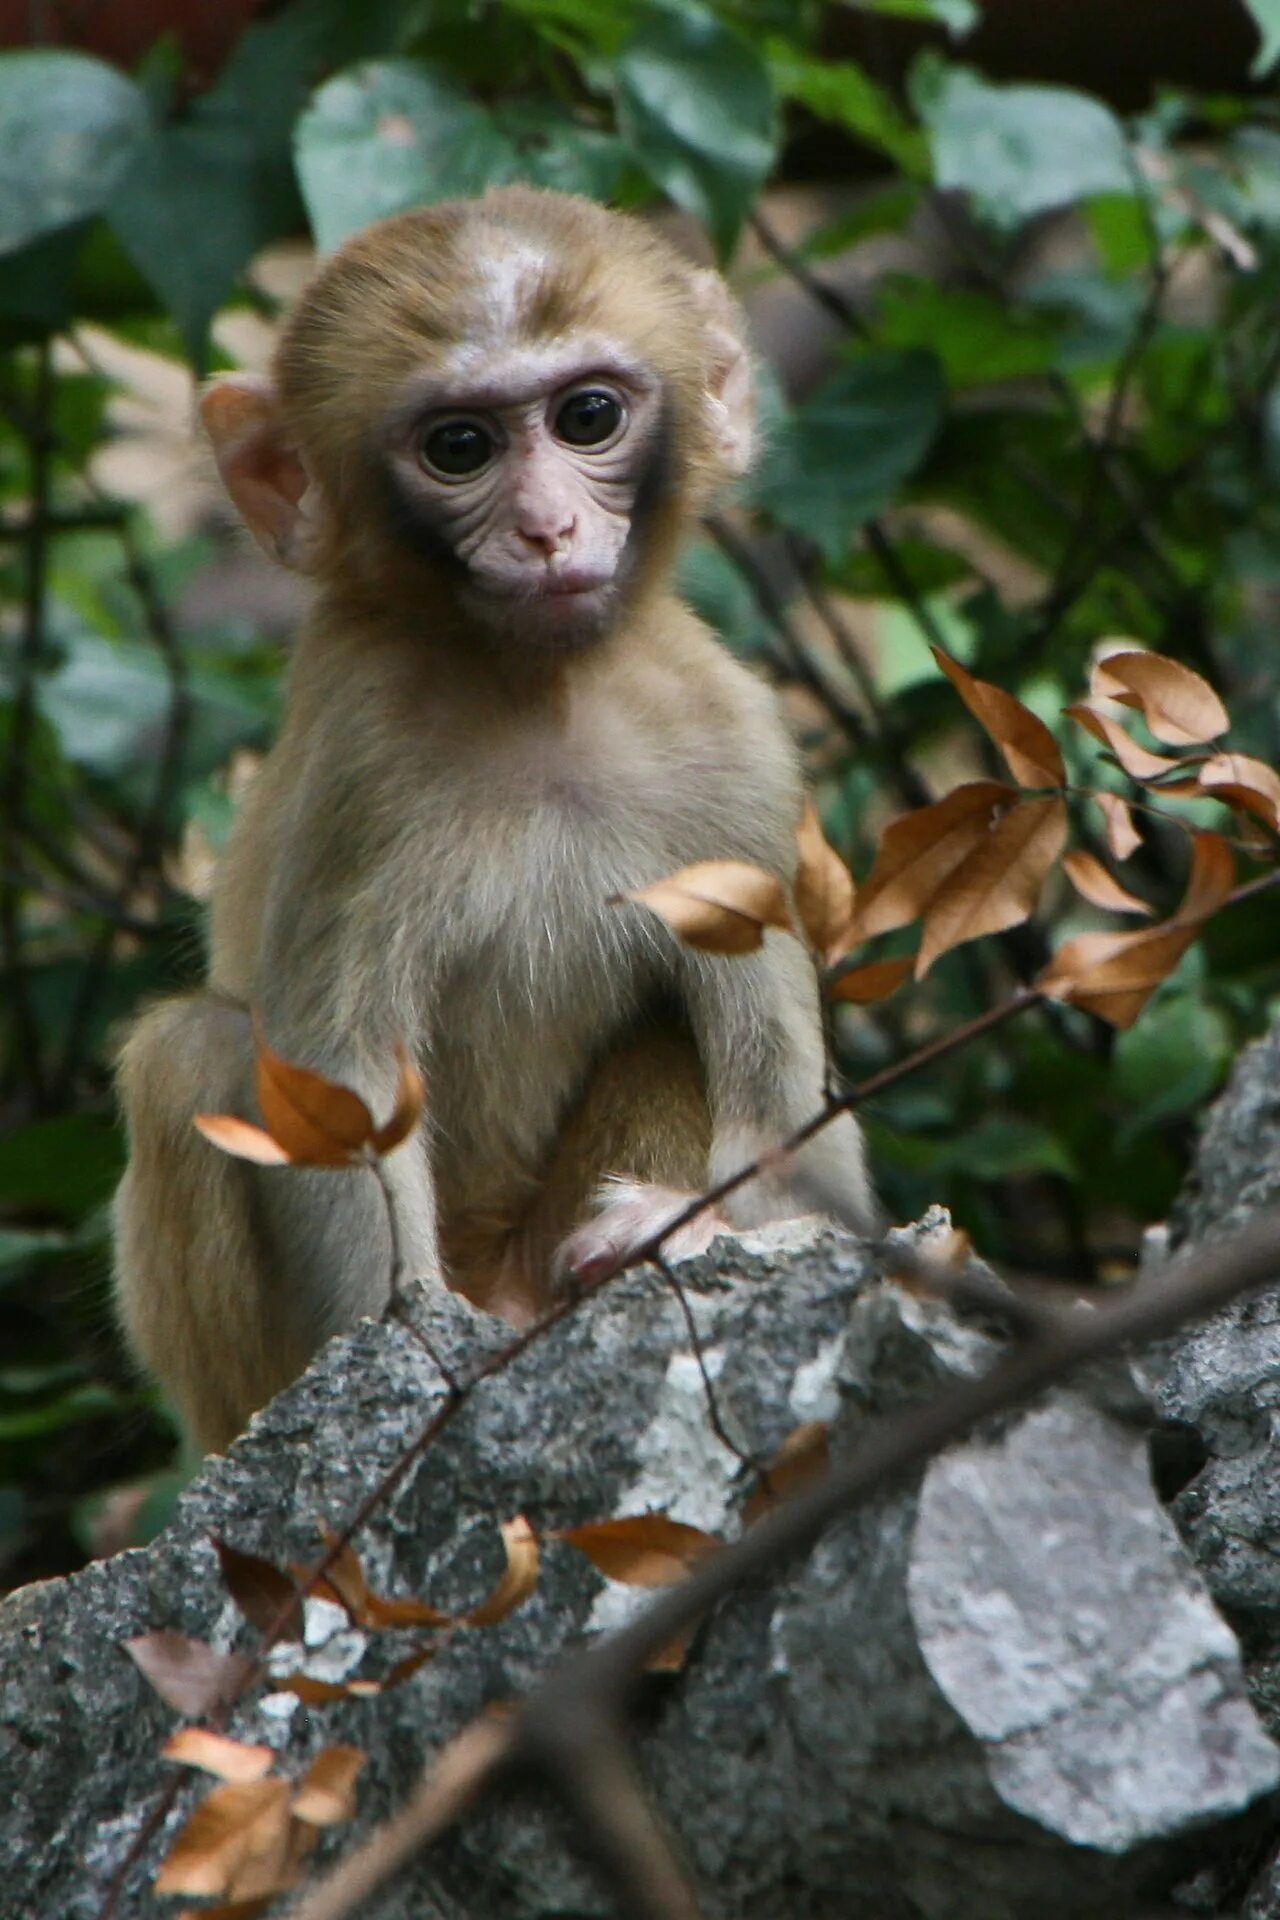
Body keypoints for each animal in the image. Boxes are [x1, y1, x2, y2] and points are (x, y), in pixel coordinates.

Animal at [115, 187, 875, 1443]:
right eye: (458, 447)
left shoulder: (739, 750)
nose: (547, 530)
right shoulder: (359, 757)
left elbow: (783, 1094)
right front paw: (408, 1370)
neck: (538, 697)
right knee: (195, 1054)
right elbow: (339, 1077)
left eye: (588, 417)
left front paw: (702, 1227)